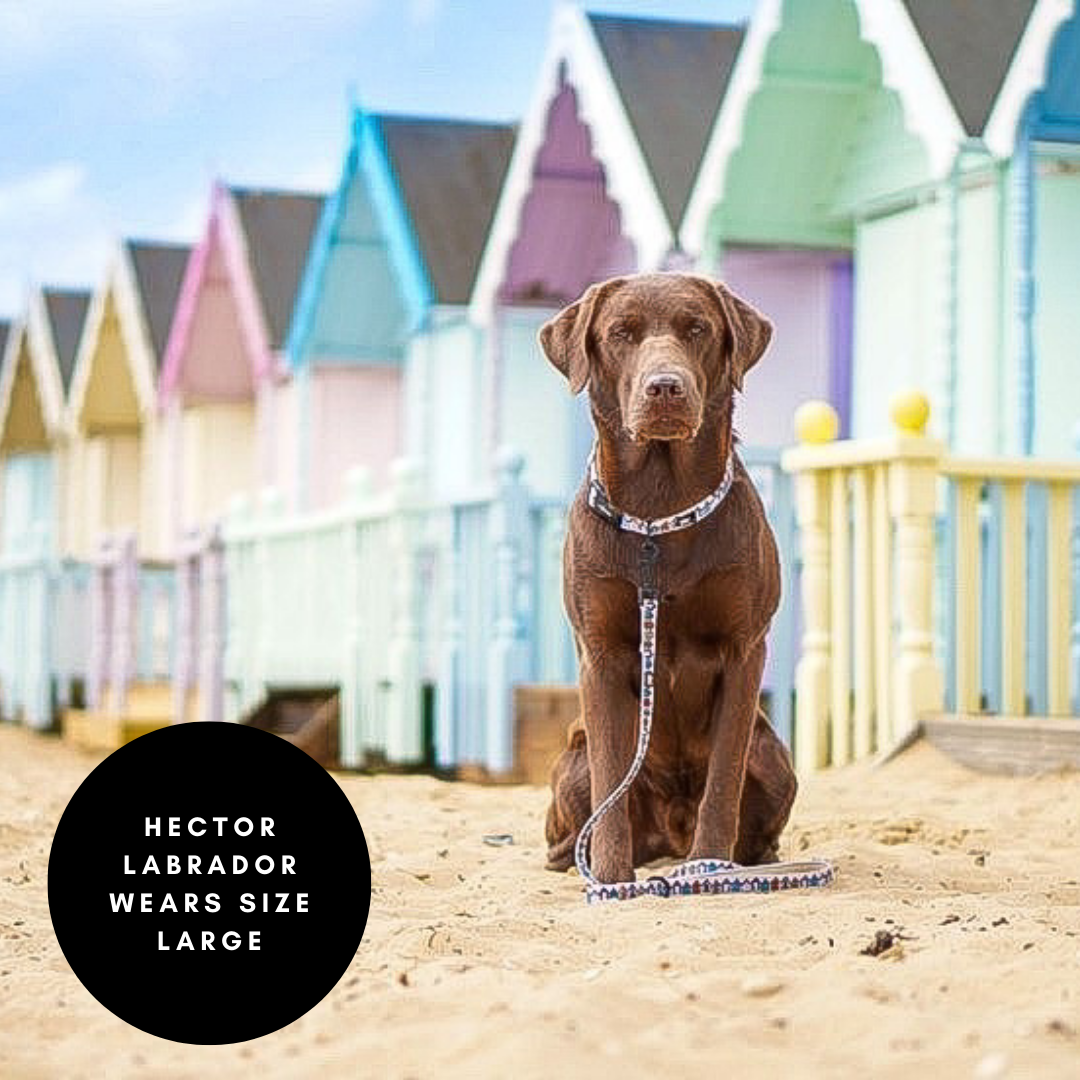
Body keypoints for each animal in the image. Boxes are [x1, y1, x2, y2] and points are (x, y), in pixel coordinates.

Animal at [540, 272, 794, 885]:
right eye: (620, 333)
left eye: (697, 328)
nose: (665, 387)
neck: (661, 509)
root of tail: (667, 835)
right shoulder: (601, 652)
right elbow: (612, 775)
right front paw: (611, 880)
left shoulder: (744, 648)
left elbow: (724, 775)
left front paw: (711, 867)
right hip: (571, 760)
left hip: (777, 759)